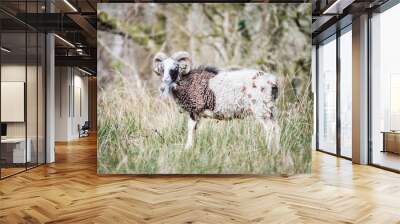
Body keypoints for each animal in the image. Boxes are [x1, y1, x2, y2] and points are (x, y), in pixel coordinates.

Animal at [153, 51, 282, 150]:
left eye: (175, 68)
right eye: (162, 68)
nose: (164, 83)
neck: (187, 81)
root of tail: (272, 81)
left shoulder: (194, 110)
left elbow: (190, 128)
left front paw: (187, 148)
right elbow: (194, 130)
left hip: (261, 109)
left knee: (269, 129)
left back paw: (268, 149)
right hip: (270, 109)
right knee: (276, 128)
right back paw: (277, 150)